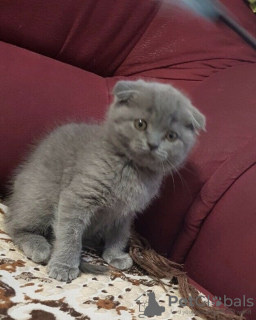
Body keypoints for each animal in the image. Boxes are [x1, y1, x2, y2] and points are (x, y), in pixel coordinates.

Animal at [4, 80, 205, 282]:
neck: (133, 169)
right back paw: (39, 246)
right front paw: (64, 265)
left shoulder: (125, 211)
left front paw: (115, 255)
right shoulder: (79, 196)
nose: (152, 144)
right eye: (140, 124)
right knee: (13, 224)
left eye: (171, 136)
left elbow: (120, 233)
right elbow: (70, 233)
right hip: (40, 195)